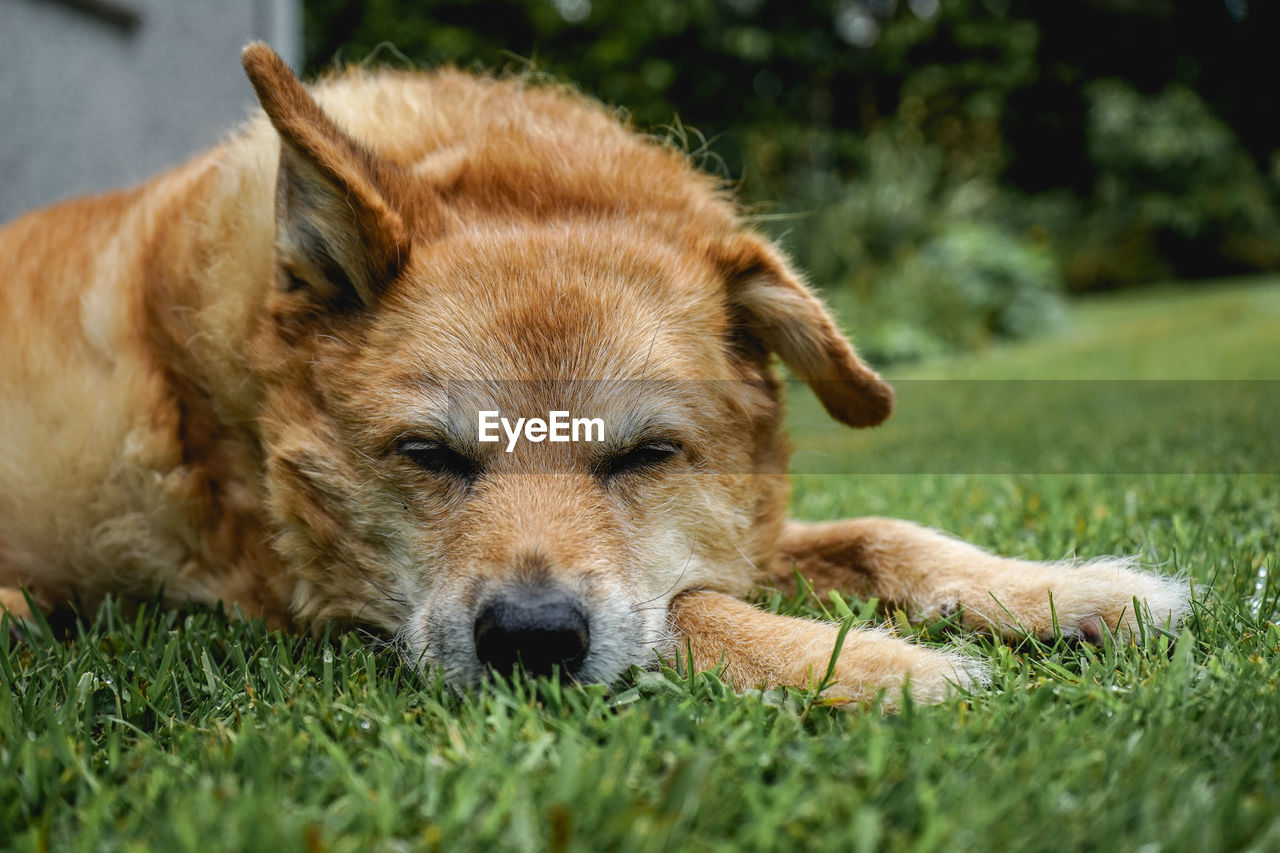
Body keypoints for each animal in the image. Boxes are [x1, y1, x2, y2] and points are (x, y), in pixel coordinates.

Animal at [0, 43, 1187, 701]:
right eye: (427, 453)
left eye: (646, 455)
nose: (530, 639)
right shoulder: (317, 604)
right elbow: (688, 610)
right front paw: (873, 666)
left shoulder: (734, 526)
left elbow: (882, 534)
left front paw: (1063, 589)